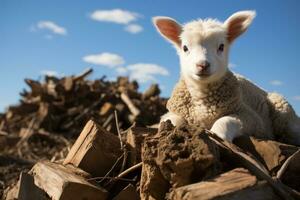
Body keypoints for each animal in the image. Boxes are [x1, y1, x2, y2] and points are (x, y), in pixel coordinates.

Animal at [152, 10, 300, 145]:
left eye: (221, 47)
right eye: (185, 48)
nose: (203, 65)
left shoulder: (251, 118)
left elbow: (225, 120)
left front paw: (217, 136)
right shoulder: (174, 113)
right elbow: (171, 121)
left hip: (284, 114)